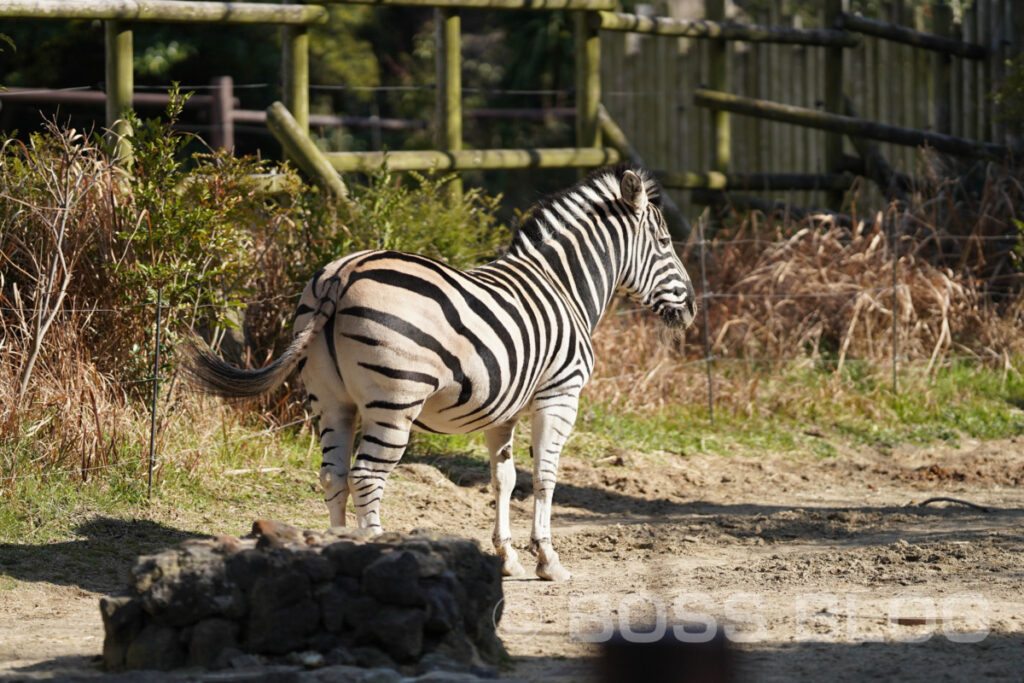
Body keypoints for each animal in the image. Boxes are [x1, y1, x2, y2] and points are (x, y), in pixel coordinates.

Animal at [186, 165, 696, 581]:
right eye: (666, 244)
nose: (692, 310)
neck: (563, 286)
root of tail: (341, 272)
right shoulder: (560, 394)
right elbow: (545, 476)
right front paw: (548, 561)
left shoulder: (503, 409)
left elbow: (504, 479)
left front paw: (507, 558)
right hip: (394, 402)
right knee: (367, 476)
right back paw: (376, 553)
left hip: (330, 401)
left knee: (333, 476)